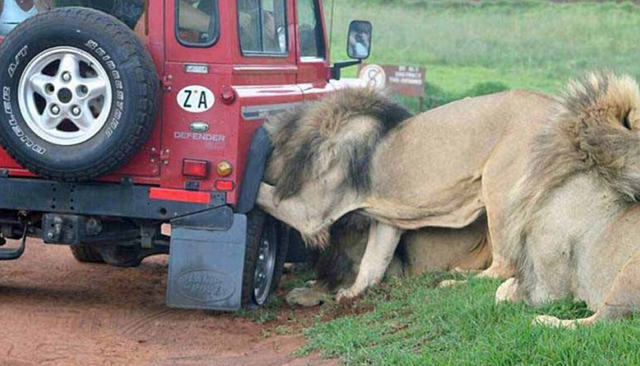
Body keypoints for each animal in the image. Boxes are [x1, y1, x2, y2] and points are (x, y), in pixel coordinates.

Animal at [258, 87, 552, 302]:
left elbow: (263, 193)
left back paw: (452, 281)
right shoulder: (386, 220)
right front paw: (352, 293)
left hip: (497, 189)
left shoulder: (312, 212)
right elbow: (373, 261)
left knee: (505, 267)